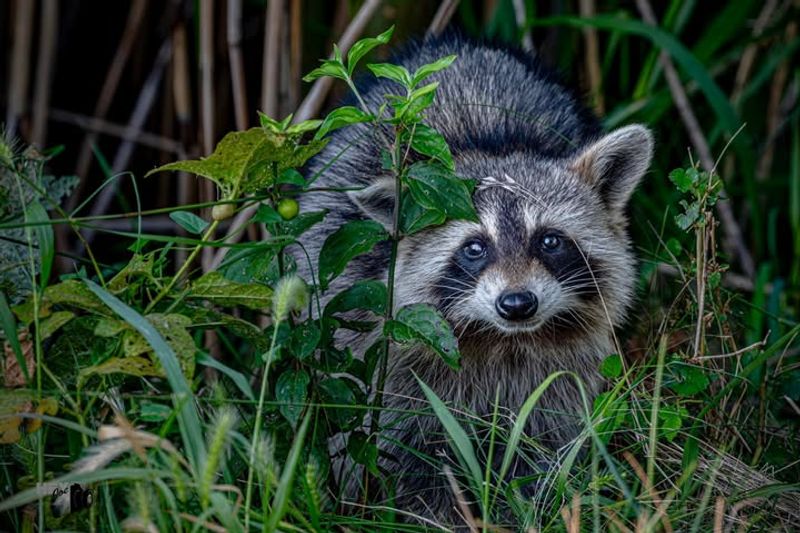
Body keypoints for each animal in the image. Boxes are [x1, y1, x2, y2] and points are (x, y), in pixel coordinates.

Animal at [297, 34, 653, 525]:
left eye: (549, 241)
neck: (503, 341)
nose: (518, 304)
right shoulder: (391, 362)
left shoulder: (561, 372)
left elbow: (543, 446)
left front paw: (527, 509)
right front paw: (437, 517)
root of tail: (454, 44)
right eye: (474, 248)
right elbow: (407, 453)